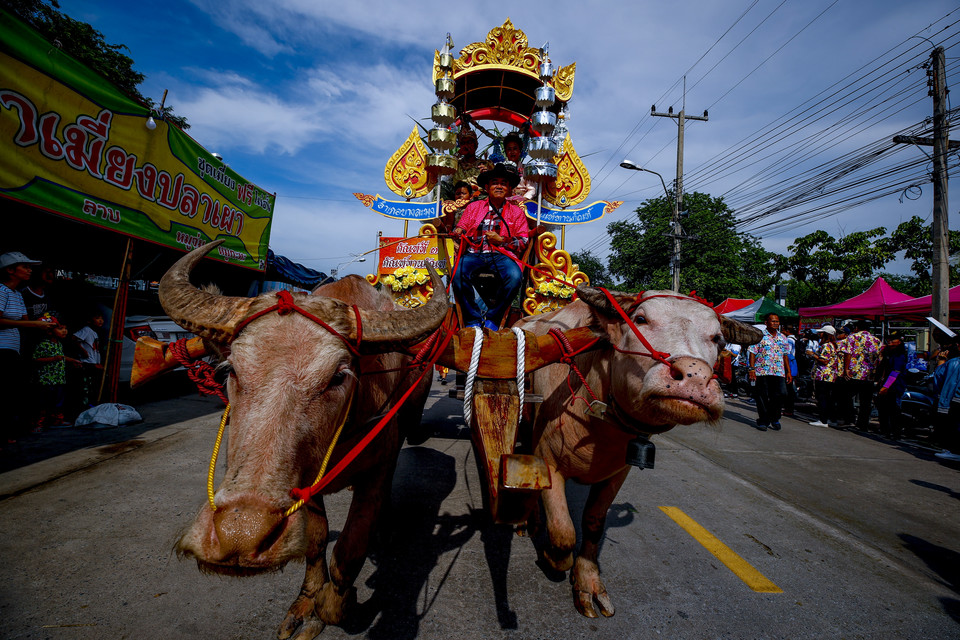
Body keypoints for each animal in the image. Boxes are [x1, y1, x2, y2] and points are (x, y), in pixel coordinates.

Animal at [163, 241, 448, 640]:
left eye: (338, 376)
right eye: (231, 369)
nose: (241, 534)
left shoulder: (377, 467)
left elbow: (351, 544)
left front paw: (335, 603)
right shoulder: (303, 480)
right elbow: (316, 538)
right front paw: (306, 604)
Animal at [512, 290, 760, 620]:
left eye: (717, 338)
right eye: (640, 319)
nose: (695, 377)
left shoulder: (618, 473)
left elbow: (593, 522)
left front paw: (588, 582)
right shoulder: (548, 459)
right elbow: (563, 531)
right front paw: (553, 557)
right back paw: (526, 522)